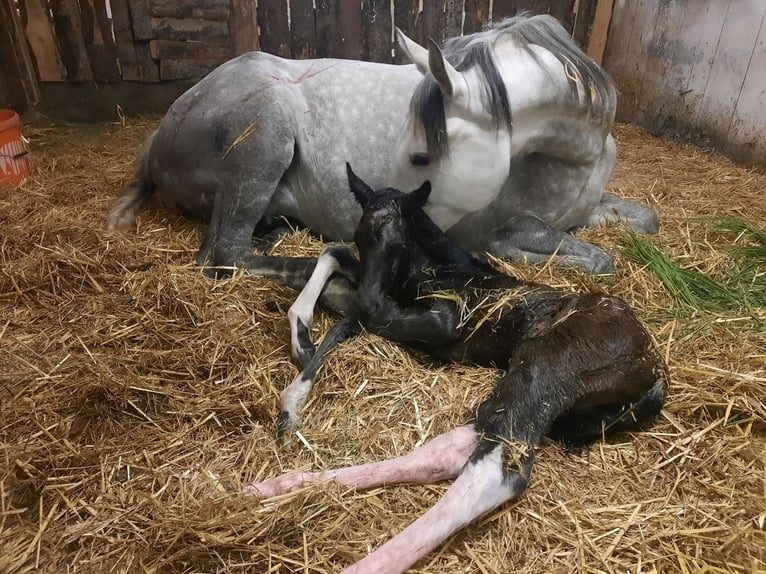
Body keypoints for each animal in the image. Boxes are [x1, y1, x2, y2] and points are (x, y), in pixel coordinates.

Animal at [108, 14, 659, 279]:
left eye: (420, 156)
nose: (408, 242)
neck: (572, 157)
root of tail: (161, 133)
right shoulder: (502, 228)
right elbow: (595, 259)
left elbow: (644, 222)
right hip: (265, 135)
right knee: (223, 253)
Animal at [248, 165, 669, 574]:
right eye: (360, 236)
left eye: (399, 244)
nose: (370, 296)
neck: (442, 268)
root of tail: (656, 372)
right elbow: (334, 258)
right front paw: (300, 360)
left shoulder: (445, 321)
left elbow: (352, 315)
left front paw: (294, 392)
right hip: (557, 404)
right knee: (462, 443)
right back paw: (272, 487)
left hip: (546, 366)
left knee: (497, 467)